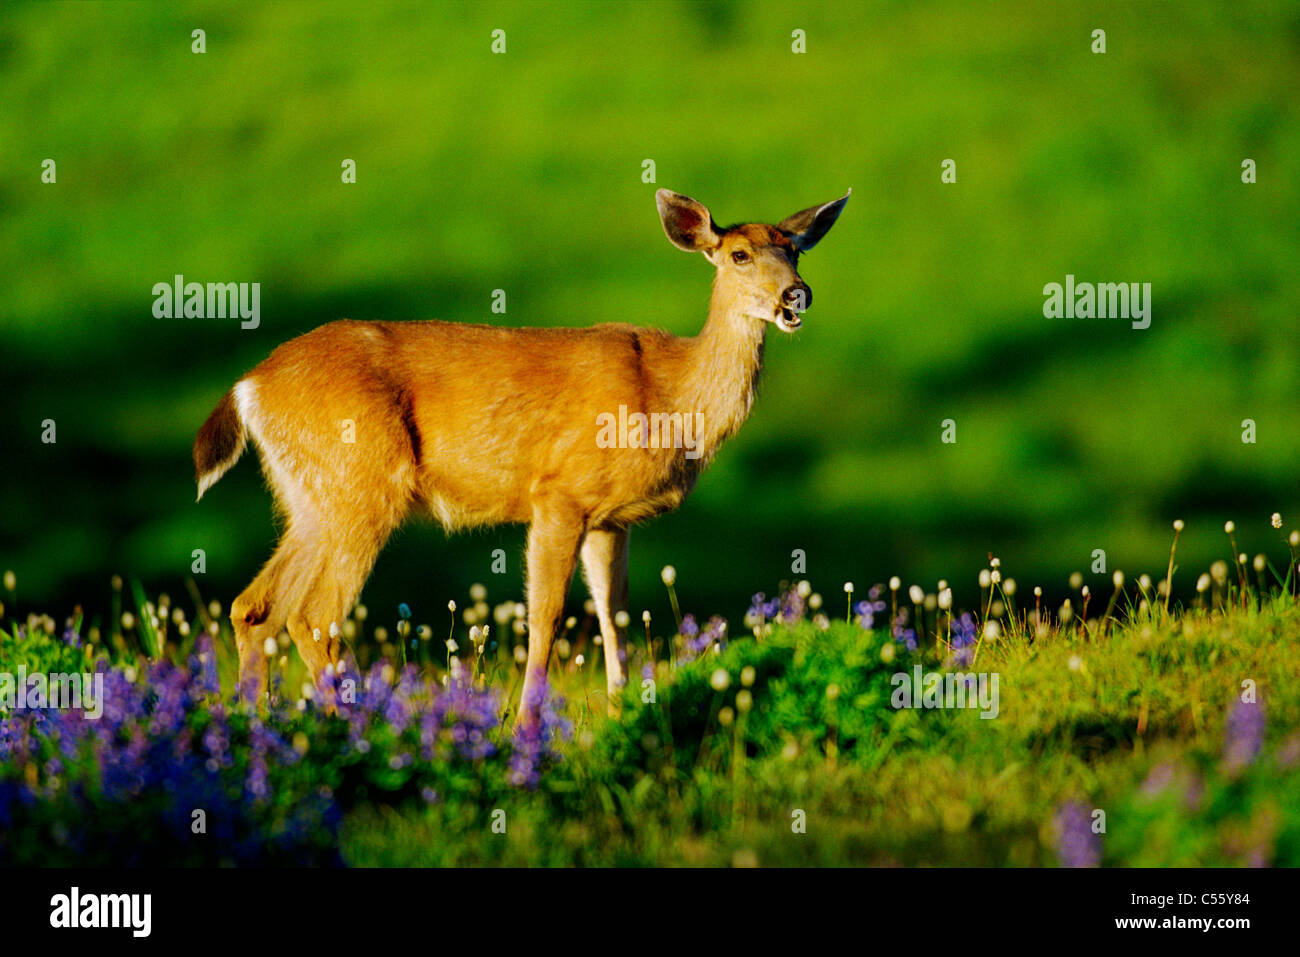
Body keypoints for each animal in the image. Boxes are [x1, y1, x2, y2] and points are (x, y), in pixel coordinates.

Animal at [189, 184, 842, 722]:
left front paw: (623, 714)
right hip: (361, 485)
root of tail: (249, 386)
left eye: (795, 252)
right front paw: (529, 726)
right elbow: (546, 617)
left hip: (310, 497)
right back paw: (353, 726)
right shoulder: (558, 494)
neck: (668, 398)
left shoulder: (611, 520)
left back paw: (257, 722)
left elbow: (615, 616)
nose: (797, 295)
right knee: (311, 614)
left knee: (253, 607)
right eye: (739, 255)